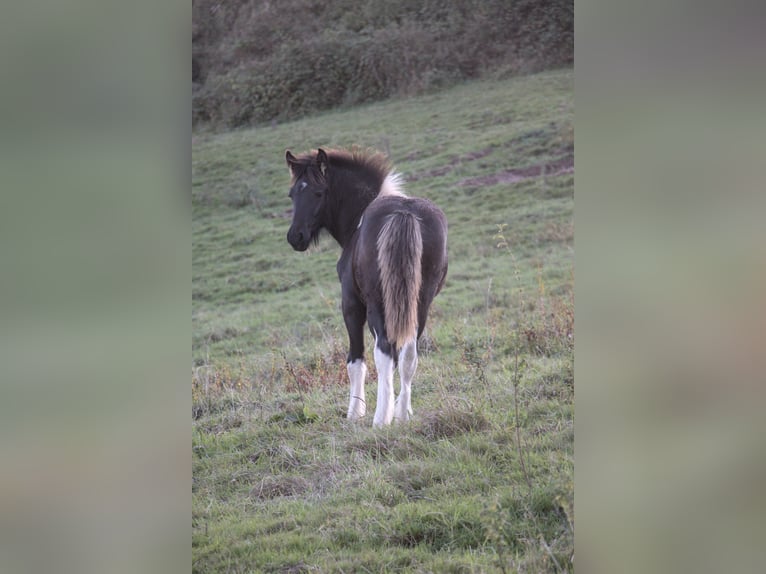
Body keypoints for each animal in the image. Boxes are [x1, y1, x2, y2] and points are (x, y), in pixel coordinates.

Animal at [284, 148, 448, 428]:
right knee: (408, 353)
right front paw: (403, 409)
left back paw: (381, 418)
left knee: (383, 352)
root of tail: (403, 214)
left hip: (376, 305)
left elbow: (356, 360)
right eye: (293, 193)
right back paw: (401, 414)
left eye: (319, 192)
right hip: (420, 303)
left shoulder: (351, 304)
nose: (296, 237)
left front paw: (355, 412)